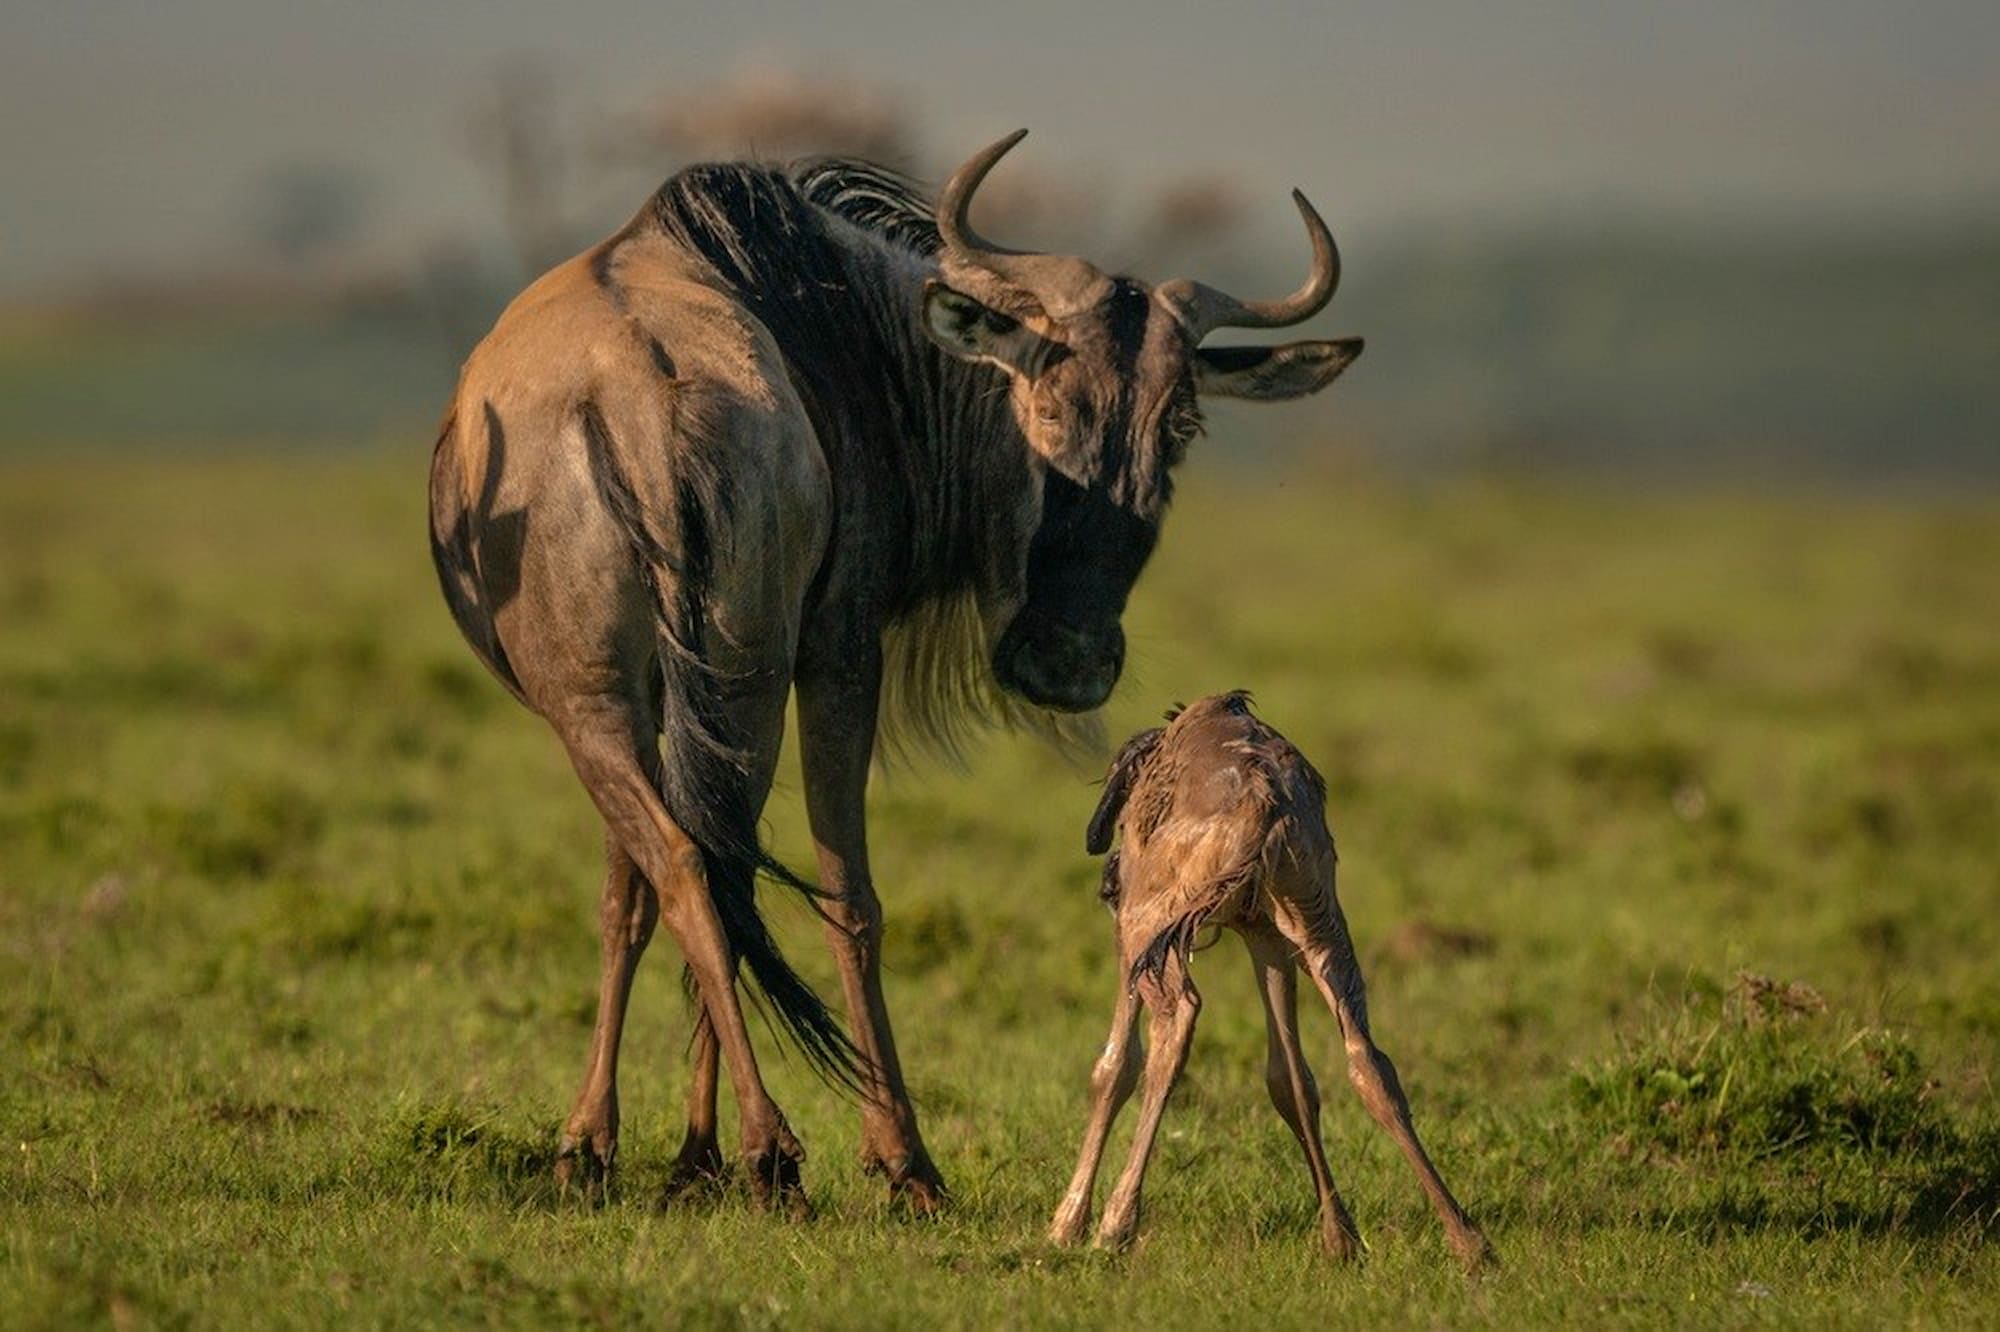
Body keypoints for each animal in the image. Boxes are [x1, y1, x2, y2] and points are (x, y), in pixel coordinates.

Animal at [428, 132, 1363, 1213]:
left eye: (1180, 426)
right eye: (1043, 400)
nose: (1067, 659)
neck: (860, 343)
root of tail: (645, 405)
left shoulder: (671, 694)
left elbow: (630, 900)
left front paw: (616, 1146)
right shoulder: (842, 647)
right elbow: (848, 896)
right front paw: (897, 1159)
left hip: (634, 697)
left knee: (691, 864)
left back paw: (696, 1147)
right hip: (739, 682)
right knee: (733, 870)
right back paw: (773, 1148)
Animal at [1051, 692, 1492, 1266]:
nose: (1107, 883)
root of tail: (1266, 799)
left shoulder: (1136, 936)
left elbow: (1113, 1068)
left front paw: (1067, 1225)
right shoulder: (1268, 940)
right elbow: (1290, 1080)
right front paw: (1340, 1237)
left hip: (1149, 929)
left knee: (1177, 1022)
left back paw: (1116, 1224)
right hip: (1318, 928)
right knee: (1367, 1060)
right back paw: (1467, 1241)